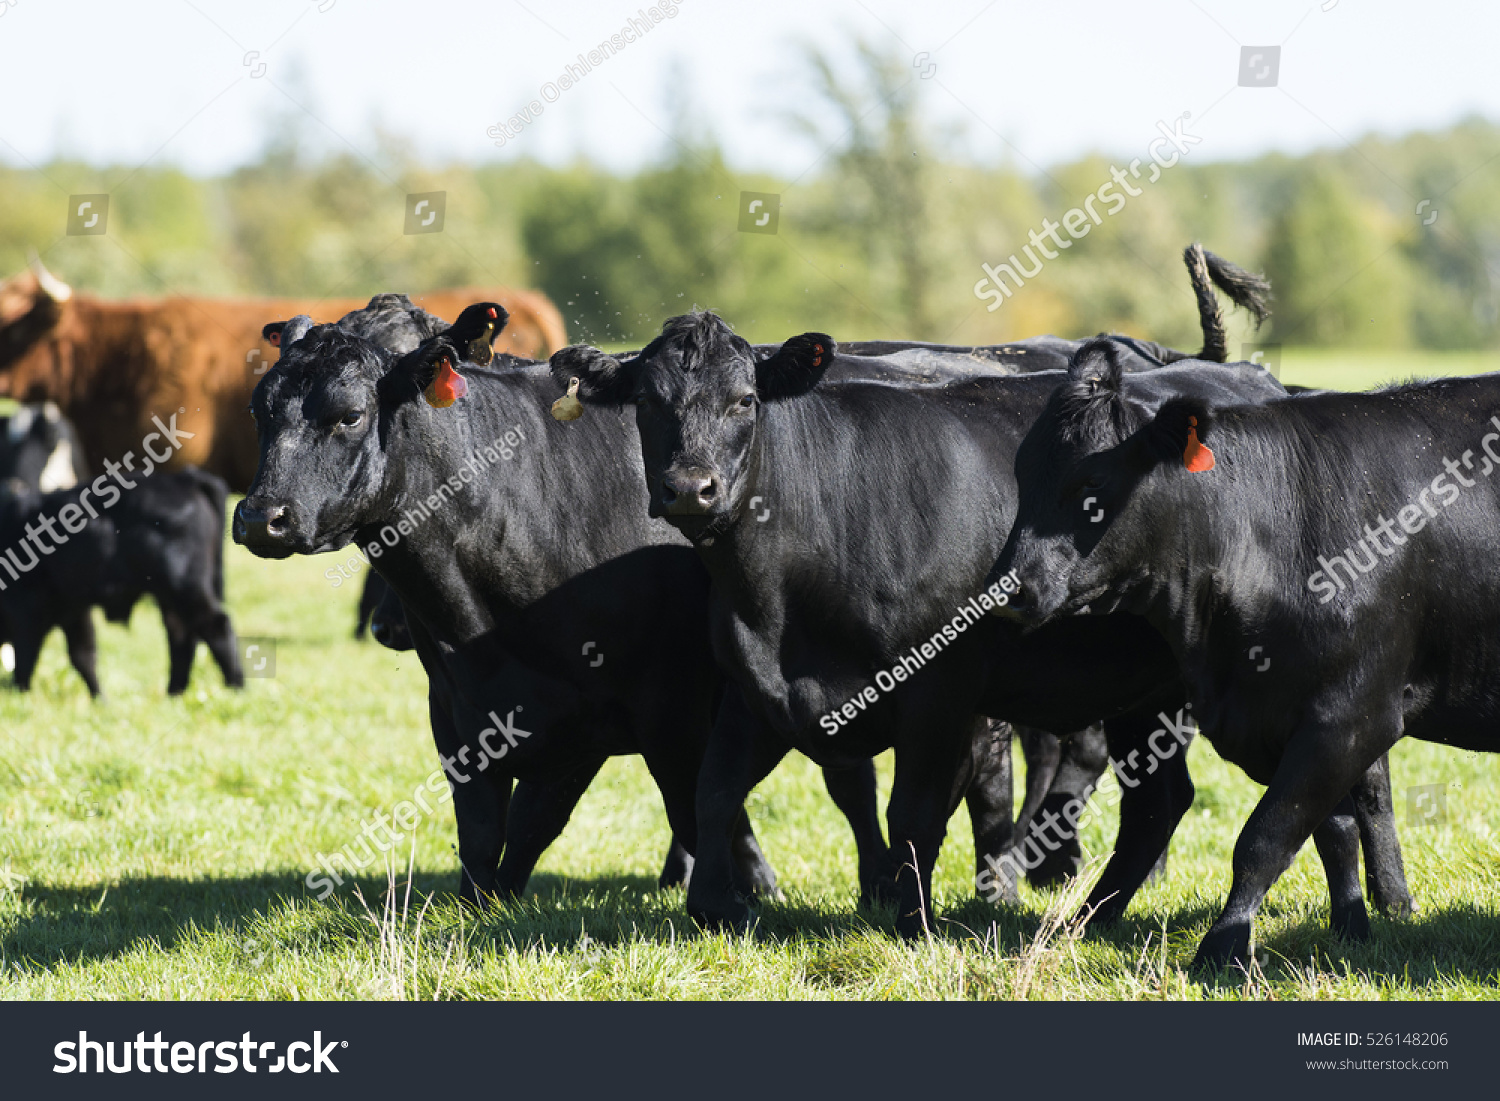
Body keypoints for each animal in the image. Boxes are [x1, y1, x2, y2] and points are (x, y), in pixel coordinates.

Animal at [0, 468, 240, 699]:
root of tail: (183, 478)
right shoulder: (73, 611)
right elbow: (83, 655)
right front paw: (100, 700)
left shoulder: (28, 612)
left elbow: (26, 659)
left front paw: (20, 695)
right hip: (170, 598)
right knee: (182, 637)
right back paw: (174, 693)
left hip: (184, 587)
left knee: (216, 627)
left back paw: (235, 687)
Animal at [549, 304, 1404, 942]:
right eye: (648, 403)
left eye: (743, 401)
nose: (692, 488)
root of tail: (1241, 372)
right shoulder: (754, 686)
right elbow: (714, 788)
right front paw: (716, 909)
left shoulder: (940, 691)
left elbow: (913, 811)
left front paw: (913, 921)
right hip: (1145, 690)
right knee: (1160, 803)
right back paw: (1093, 918)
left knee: (1350, 783)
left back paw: (1372, 909)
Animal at [990, 349, 1494, 972]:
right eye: (1022, 474)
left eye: (1092, 485)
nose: (1008, 589)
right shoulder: (1274, 718)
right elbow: (1333, 829)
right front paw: (1349, 929)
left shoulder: (1352, 715)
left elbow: (1263, 839)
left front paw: (1222, 950)